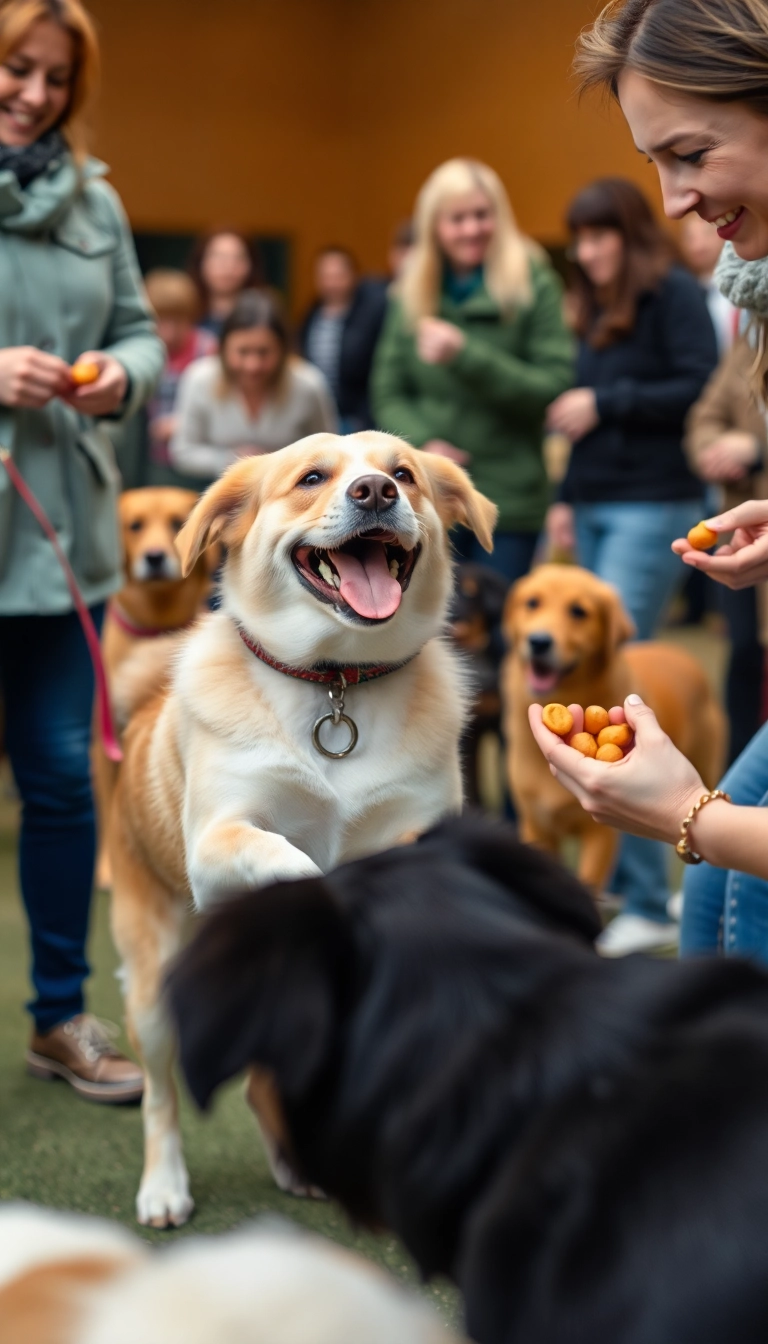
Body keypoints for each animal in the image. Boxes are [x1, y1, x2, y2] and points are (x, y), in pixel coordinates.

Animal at [108, 432, 494, 1231]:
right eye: (312, 478)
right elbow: (285, 854)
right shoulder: (216, 843)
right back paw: (163, 1188)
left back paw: (296, 1165)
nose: (377, 492)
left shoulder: (420, 826)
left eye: (405, 473)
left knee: (263, 1084)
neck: (336, 682)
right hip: (154, 988)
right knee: (161, 1099)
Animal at [505, 567, 726, 892]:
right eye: (532, 603)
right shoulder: (536, 827)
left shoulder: (601, 836)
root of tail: (679, 653)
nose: (539, 642)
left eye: (579, 611)